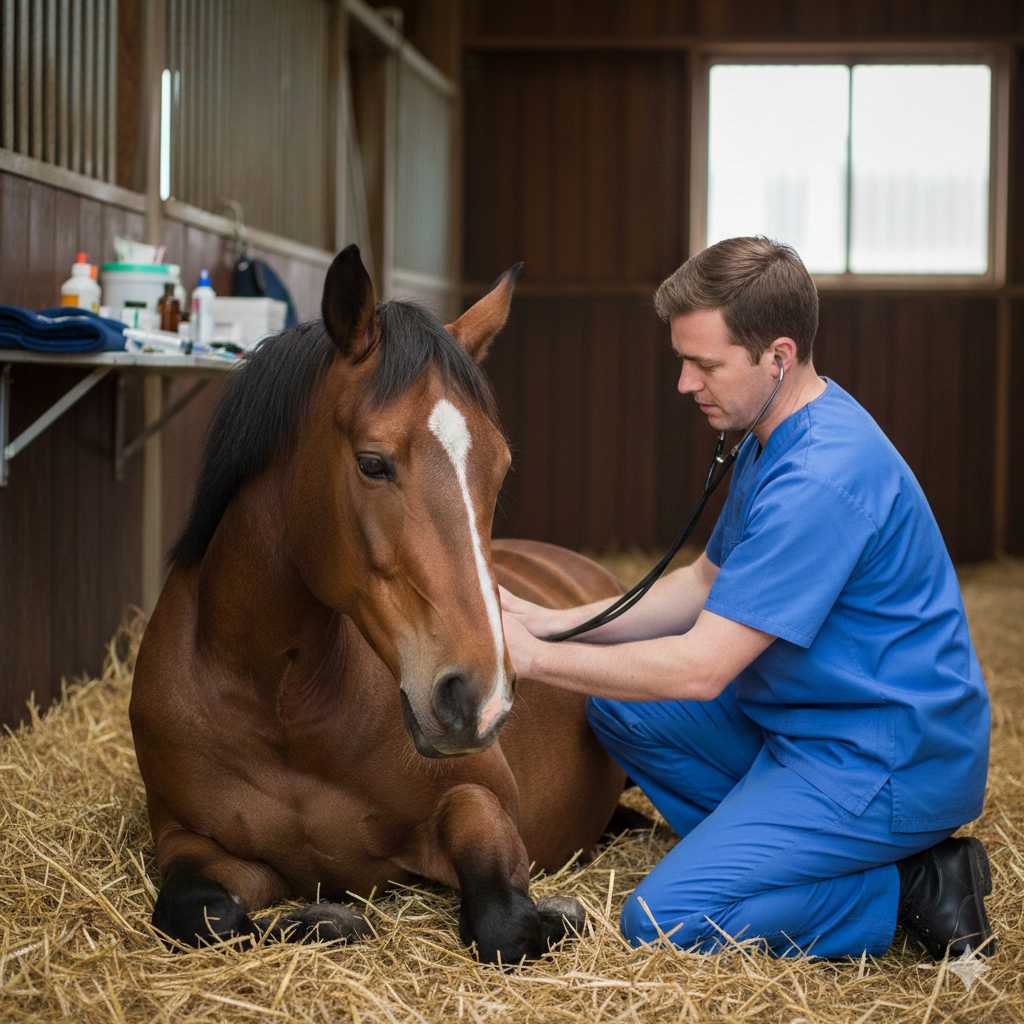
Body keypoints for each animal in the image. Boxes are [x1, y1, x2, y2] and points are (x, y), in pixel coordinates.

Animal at [129, 245, 627, 963]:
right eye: (371, 464)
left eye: (501, 469)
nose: (478, 697)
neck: (278, 704)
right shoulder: (186, 837)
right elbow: (200, 916)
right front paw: (325, 920)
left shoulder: (480, 795)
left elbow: (504, 921)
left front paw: (559, 914)